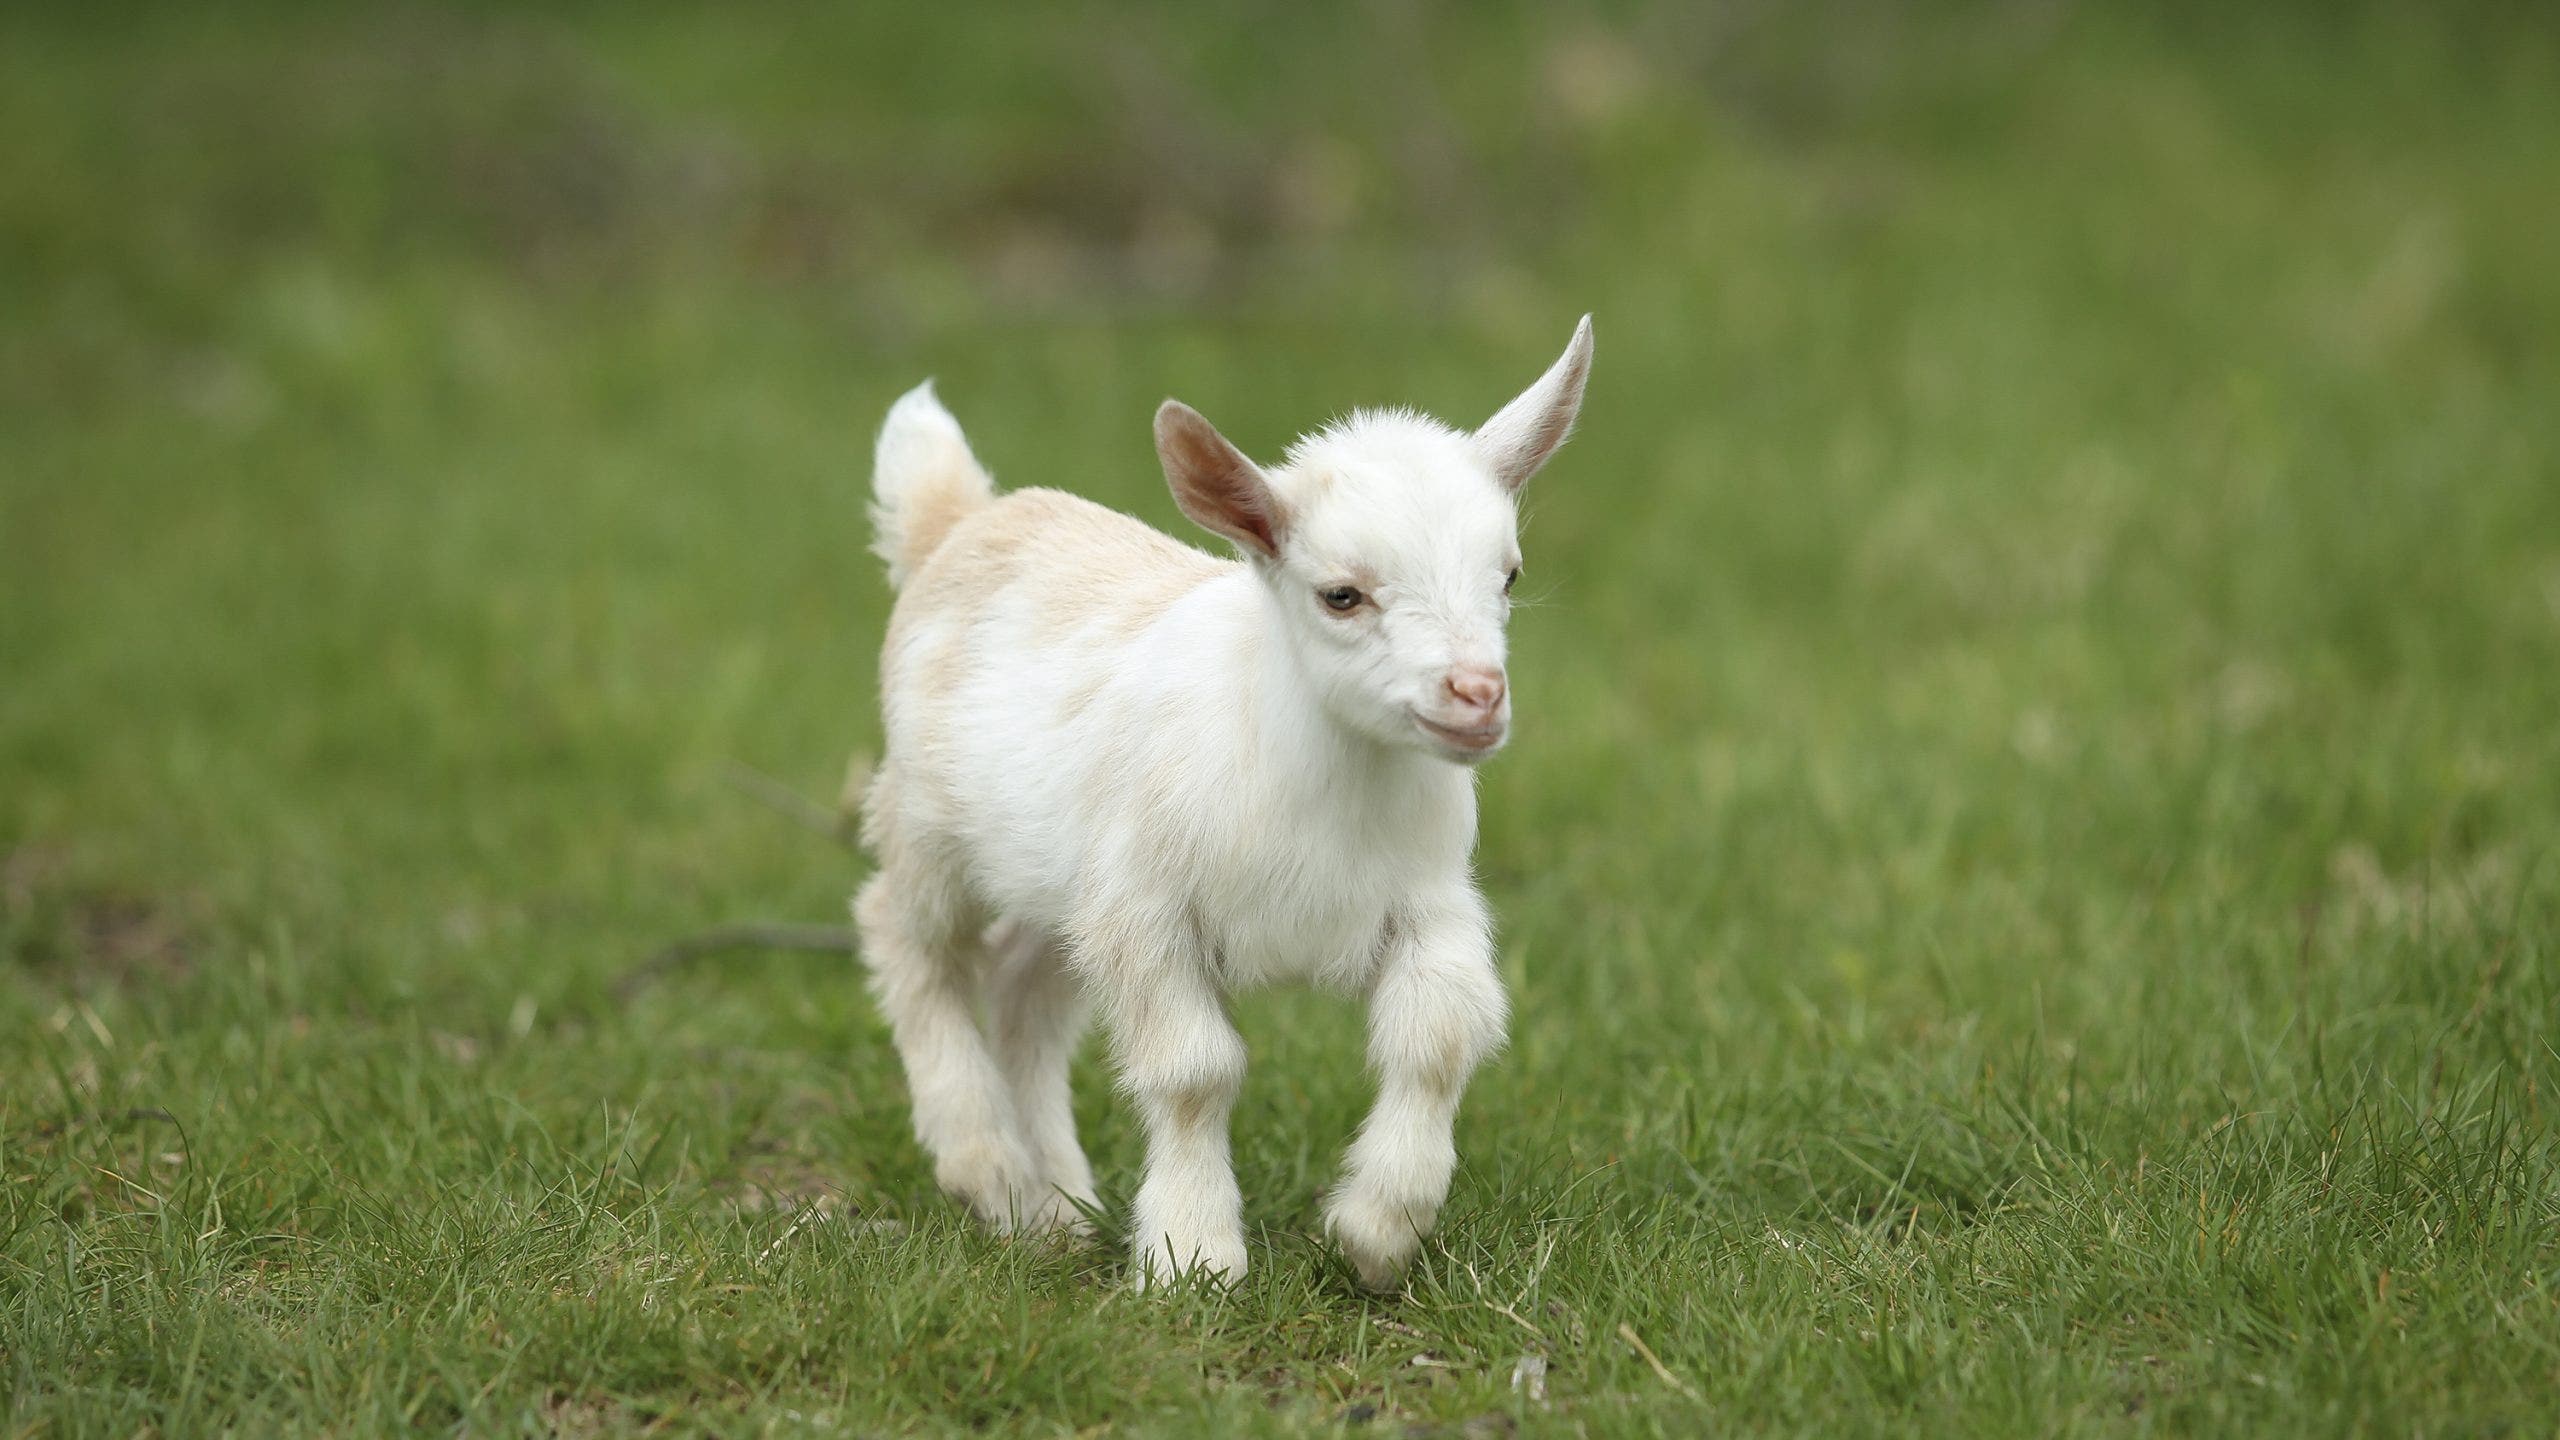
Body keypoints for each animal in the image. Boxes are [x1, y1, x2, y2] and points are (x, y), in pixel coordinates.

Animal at [855, 317, 1593, 1289]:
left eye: (1508, 575)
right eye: (1341, 595)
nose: (1477, 695)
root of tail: (963, 520)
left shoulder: (1429, 903)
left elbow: (1436, 1039)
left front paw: (1377, 1229)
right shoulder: (1148, 911)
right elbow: (1194, 1072)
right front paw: (1191, 1257)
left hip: (1065, 880)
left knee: (1024, 986)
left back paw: (1054, 1208)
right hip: (930, 824)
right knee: (909, 940)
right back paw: (988, 1168)